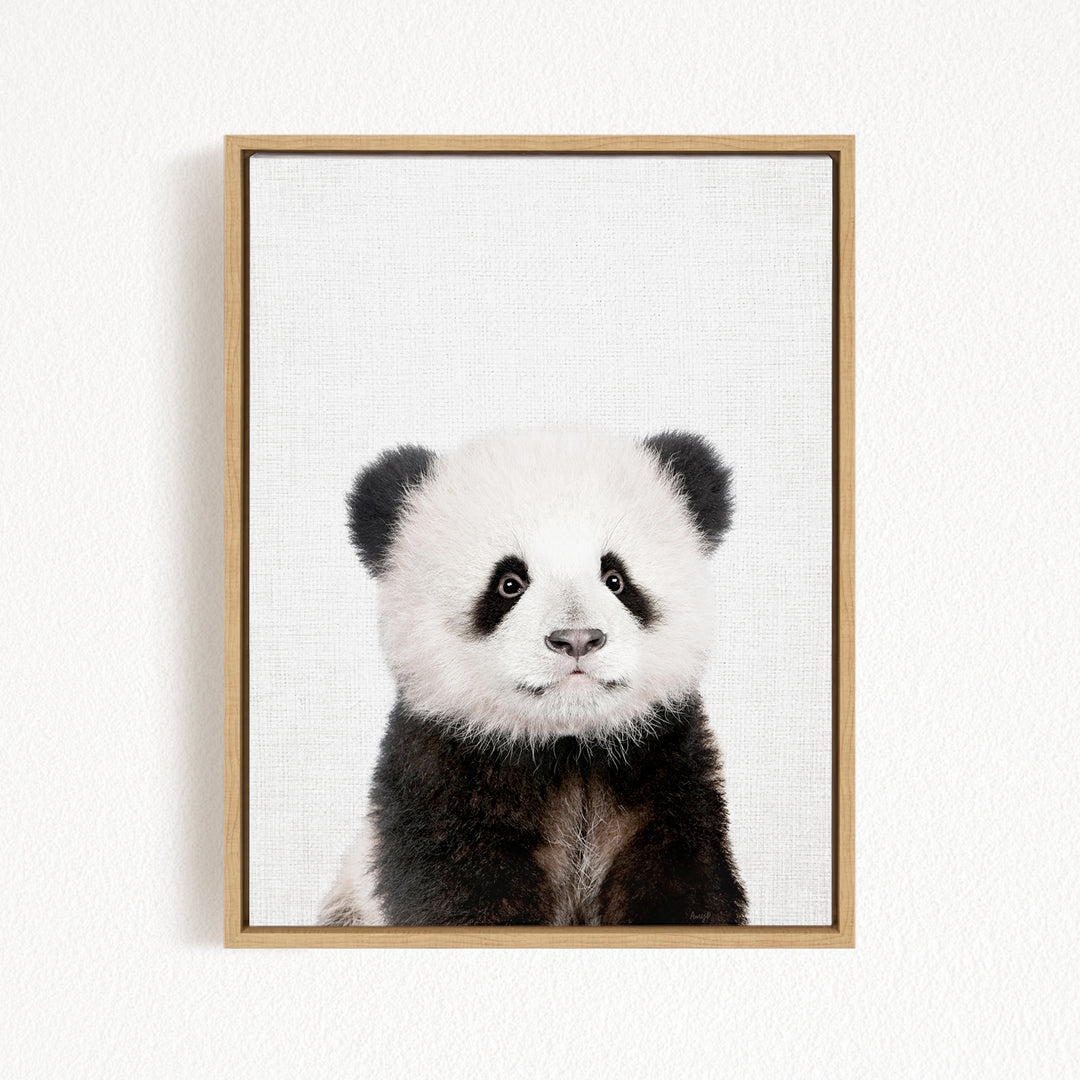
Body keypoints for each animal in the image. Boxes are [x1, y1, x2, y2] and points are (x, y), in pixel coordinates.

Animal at [319, 428, 747, 926]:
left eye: (616, 579)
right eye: (509, 583)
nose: (577, 639)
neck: (569, 746)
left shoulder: (663, 764)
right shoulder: (443, 771)